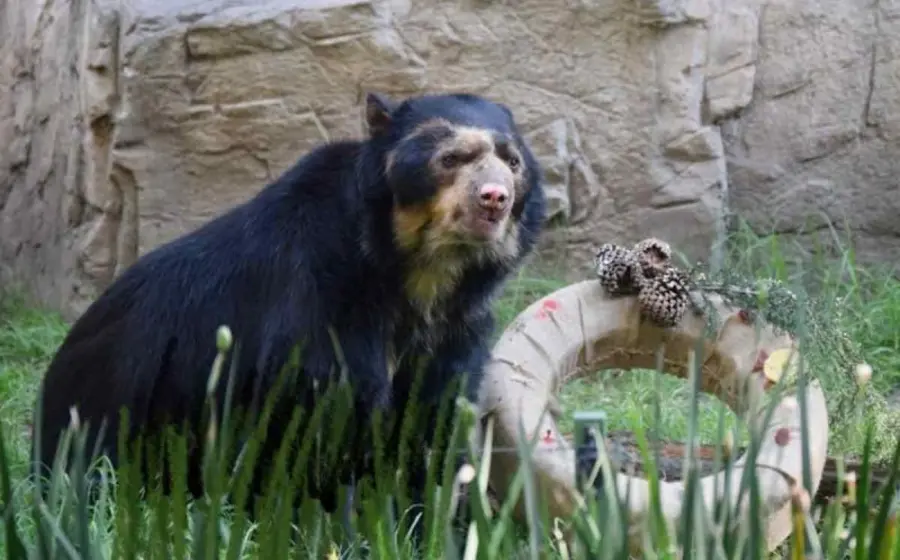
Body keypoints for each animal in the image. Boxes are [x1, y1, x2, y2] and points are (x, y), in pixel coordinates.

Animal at [31, 91, 547, 518]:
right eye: (451, 158)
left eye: (512, 162)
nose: (494, 199)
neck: (421, 276)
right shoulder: (321, 301)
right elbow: (325, 421)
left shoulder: (457, 329)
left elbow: (430, 425)